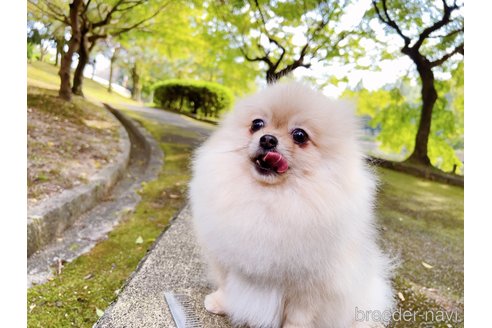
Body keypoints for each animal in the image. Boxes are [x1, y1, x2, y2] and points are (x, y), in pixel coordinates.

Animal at [190, 83, 394, 326]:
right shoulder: (226, 257)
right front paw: (220, 302)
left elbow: (298, 316)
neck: (270, 198)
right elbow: (226, 283)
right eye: (257, 124)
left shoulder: (309, 286)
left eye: (299, 135)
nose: (268, 139)